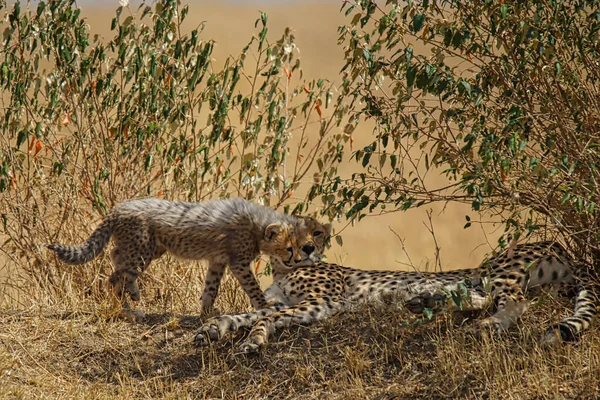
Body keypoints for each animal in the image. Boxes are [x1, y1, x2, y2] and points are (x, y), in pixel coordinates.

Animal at [44, 198, 330, 320]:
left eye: (306, 245)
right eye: (289, 248)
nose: (301, 258)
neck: (258, 225)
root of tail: (120, 207)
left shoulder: (217, 260)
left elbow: (211, 287)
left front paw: (206, 311)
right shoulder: (237, 261)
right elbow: (252, 287)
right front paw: (264, 305)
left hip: (146, 248)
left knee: (117, 264)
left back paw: (130, 299)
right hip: (142, 249)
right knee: (117, 277)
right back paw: (129, 310)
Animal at [195, 241, 596, 350]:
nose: (306, 250)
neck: (284, 268)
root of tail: (563, 249)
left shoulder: (323, 303)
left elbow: (264, 317)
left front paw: (254, 340)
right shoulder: (288, 303)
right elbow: (250, 313)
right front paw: (214, 328)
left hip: (498, 268)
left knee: (514, 302)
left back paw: (484, 326)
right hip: (494, 278)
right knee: (481, 297)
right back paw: (426, 301)